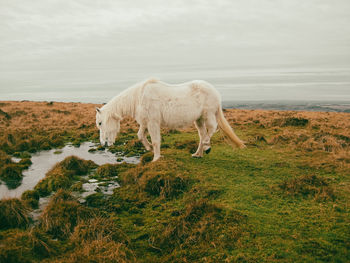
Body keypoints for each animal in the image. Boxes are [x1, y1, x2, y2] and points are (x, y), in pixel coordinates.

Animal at [94, 78, 245, 162]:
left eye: (100, 123)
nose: (103, 143)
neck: (139, 97)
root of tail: (215, 91)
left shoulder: (153, 122)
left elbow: (156, 140)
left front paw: (155, 159)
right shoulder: (145, 122)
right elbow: (140, 135)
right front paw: (148, 148)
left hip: (208, 115)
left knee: (211, 129)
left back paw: (207, 147)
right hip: (199, 120)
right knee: (202, 135)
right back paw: (198, 154)